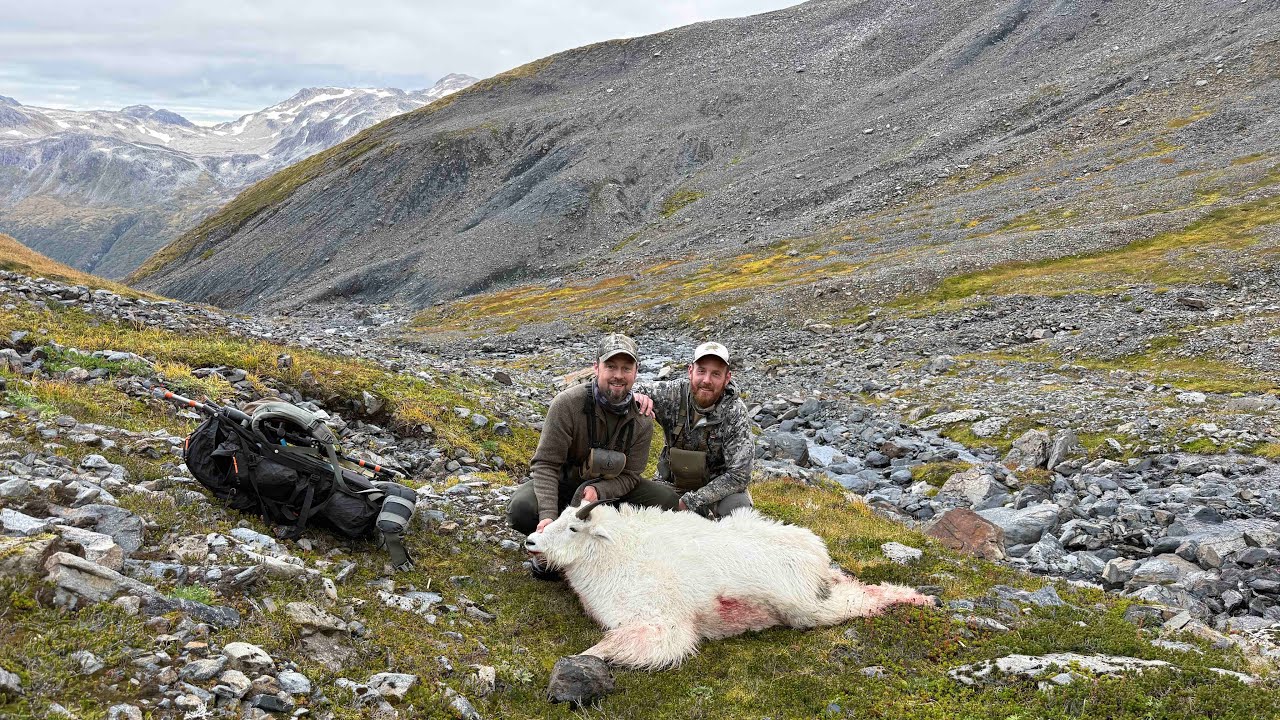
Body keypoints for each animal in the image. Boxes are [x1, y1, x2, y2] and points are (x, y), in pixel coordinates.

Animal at [525, 500, 933, 670]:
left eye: (573, 527)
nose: (531, 541)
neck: (618, 554)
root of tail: (816, 552)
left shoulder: (661, 623)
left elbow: (608, 646)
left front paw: (579, 658)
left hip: (806, 607)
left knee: (860, 598)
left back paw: (916, 598)